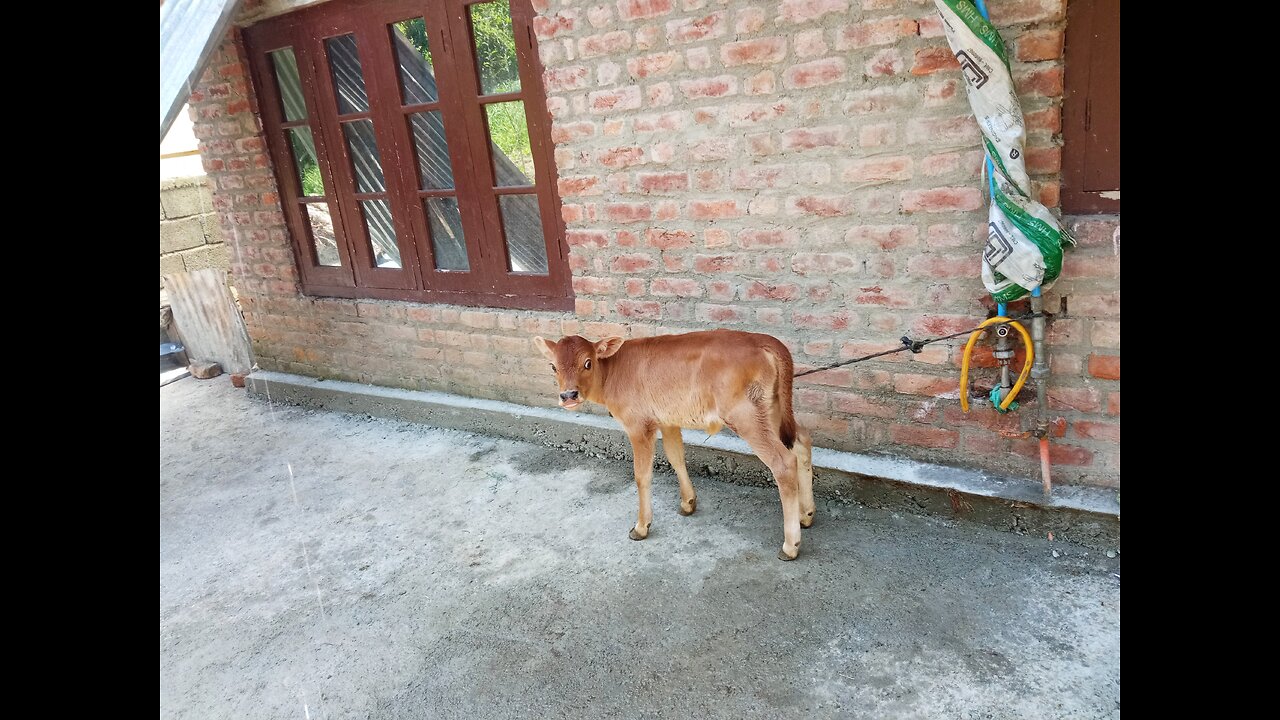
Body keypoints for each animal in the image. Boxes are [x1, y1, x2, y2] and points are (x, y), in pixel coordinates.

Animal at [532, 330, 814, 561]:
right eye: (553, 366)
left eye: (588, 363)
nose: (568, 395)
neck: (613, 371)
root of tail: (764, 340)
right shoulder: (667, 421)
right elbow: (676, 456)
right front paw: (688, 503)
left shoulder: (639, 426)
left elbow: (642, 475)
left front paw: (641, 527)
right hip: (772, 408)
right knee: (801, 443)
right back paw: (807, 514)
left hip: (745, 415)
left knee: (783, 462)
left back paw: (790, 545)